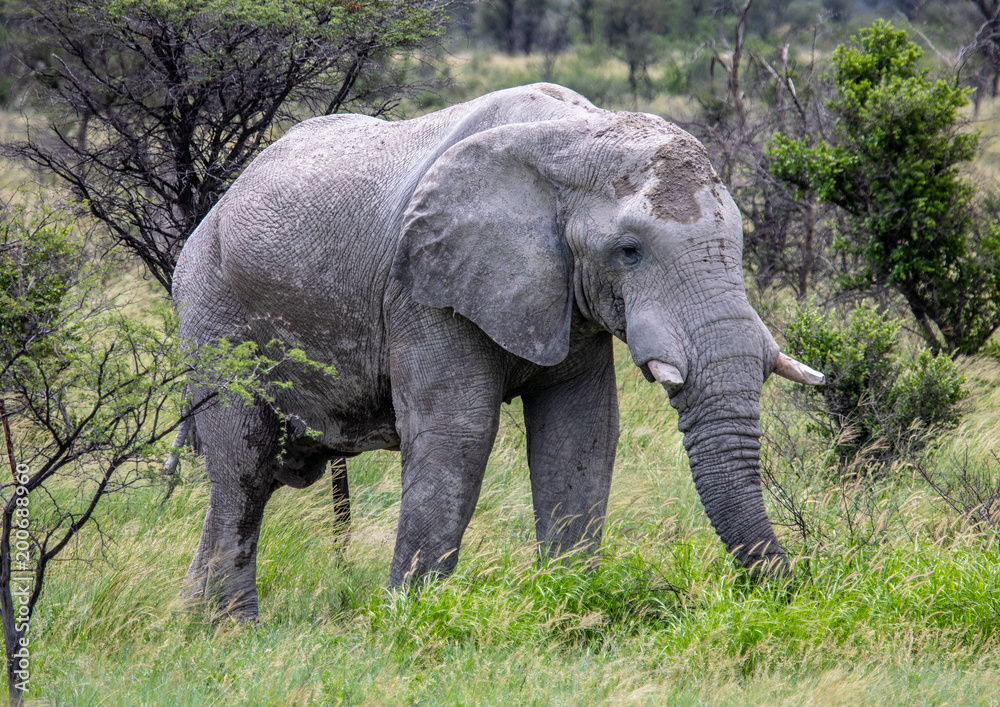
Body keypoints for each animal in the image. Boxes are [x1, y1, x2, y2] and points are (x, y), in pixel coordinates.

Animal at [174, 80, 820, 616]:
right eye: (629, 251)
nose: (792, 591)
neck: (573, 137)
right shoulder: (423, 288)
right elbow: (459, 432)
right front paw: (408, 621)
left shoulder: (566, 298)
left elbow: (580, 431)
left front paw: (570, 600)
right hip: (213, 321)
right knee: (243, 471)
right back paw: (235, 631)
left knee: (252, 478)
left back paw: (197, 622)